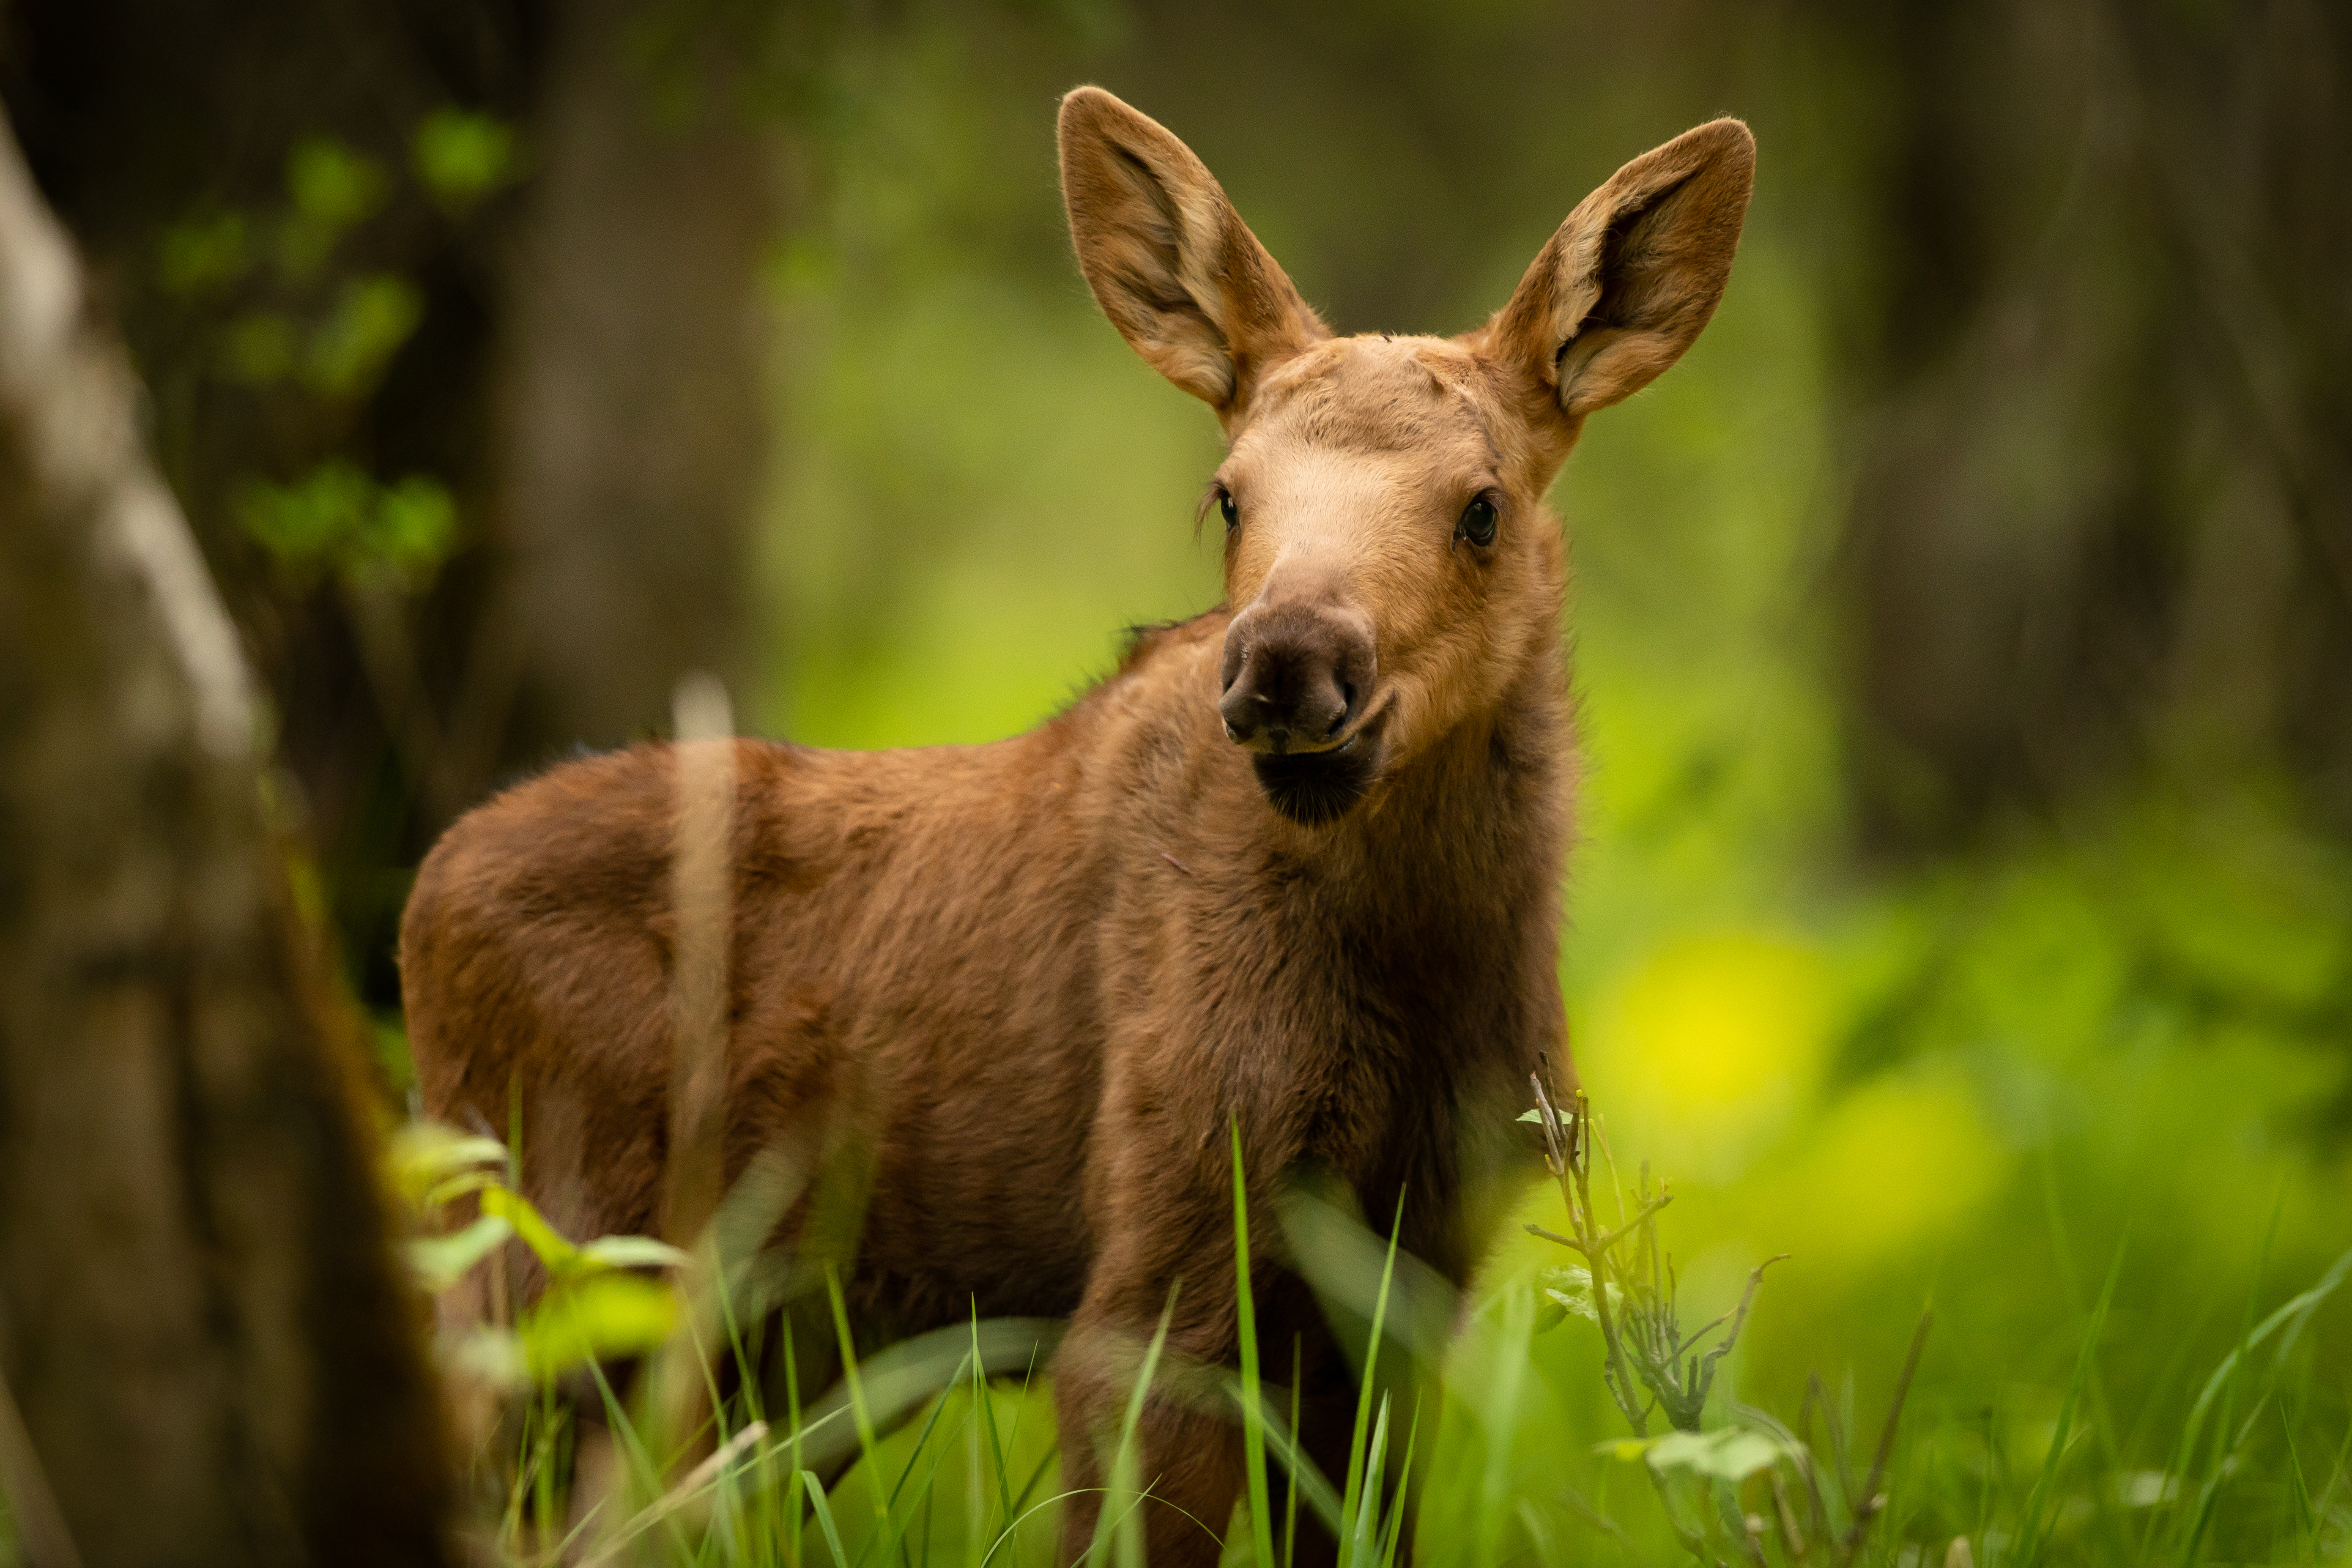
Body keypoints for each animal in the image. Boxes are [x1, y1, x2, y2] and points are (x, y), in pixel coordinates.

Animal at [400, 85, 1750, 1568]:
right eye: (1229, 493)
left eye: (1484, 507)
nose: (1288, 664)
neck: (1418, 966)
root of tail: (420, 900)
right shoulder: (1159, 1267)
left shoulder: (1410, 1283)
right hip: (551, 1265)